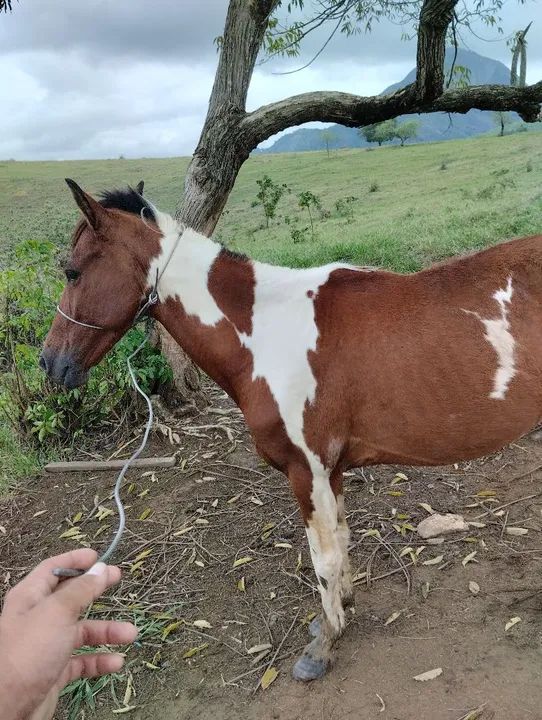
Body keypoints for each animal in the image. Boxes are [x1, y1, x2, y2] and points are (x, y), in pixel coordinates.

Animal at [41, 179, 542, 682]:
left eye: (72, 272)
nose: (50, 362)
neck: (266, 332)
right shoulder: (331, 470)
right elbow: (341, 539)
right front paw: (340, 610)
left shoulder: (307, 470)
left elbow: (325, 557)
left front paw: (325, 644)